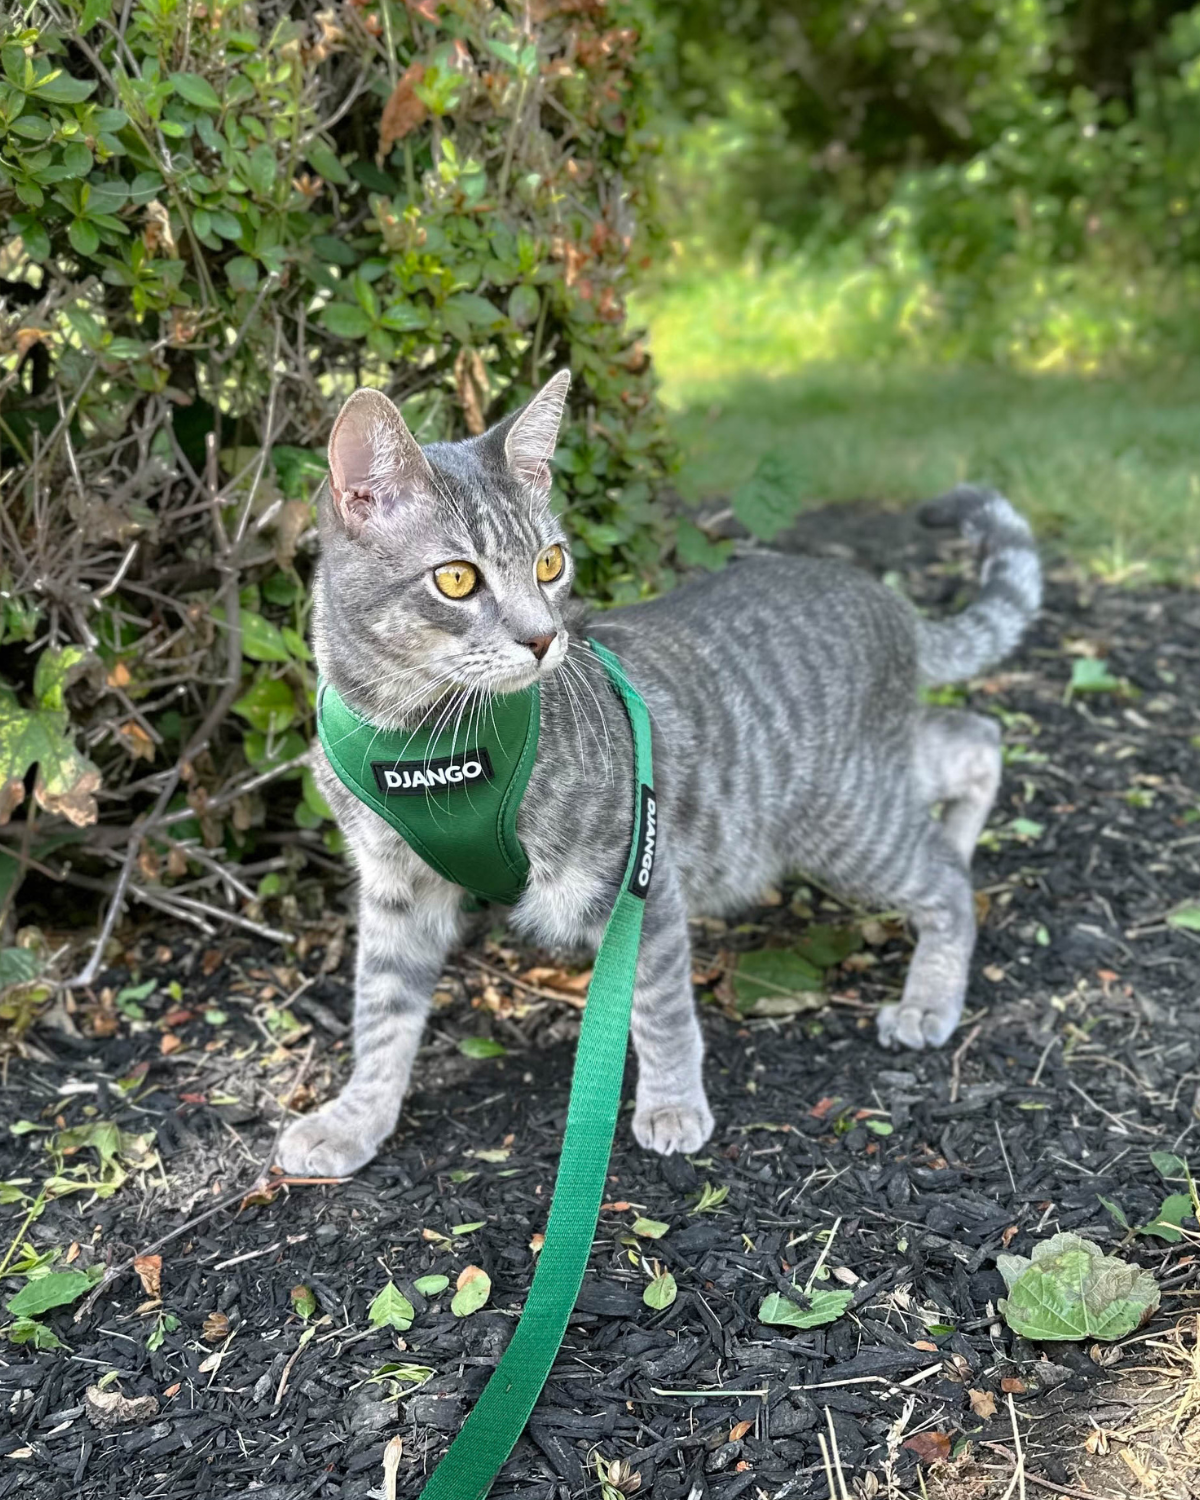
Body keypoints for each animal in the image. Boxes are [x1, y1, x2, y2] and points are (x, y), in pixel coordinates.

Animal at [279, 369, 1038, 1176]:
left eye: (550, 563)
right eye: (455, 579)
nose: (544, 637)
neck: (415, 737)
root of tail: (887, 597)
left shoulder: (638, 876)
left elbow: (657, 1003)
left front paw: (673, 1102)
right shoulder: (396, 890)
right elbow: (381, 1011)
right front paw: (355, 1117)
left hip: (846, 823)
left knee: (946, 874)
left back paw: (931, 991)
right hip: (872, 786)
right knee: (972, 740)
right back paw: (960, 833)